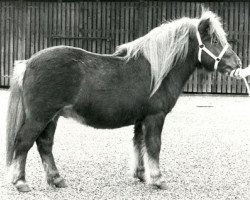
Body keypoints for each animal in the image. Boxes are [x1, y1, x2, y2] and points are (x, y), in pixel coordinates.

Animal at [6, 10, 242, 191]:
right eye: (213, 40)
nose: (237, 63)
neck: (156, 71)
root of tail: (28, 63)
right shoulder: (155, 117)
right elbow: (153, 146)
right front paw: (158, 179)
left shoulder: (141, 119)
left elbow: (139, 144)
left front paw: (141, 174)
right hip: (40, 116)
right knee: (24, 142)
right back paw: (20, 182)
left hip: (52, 117)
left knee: (44, 145)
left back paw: (56, 179)